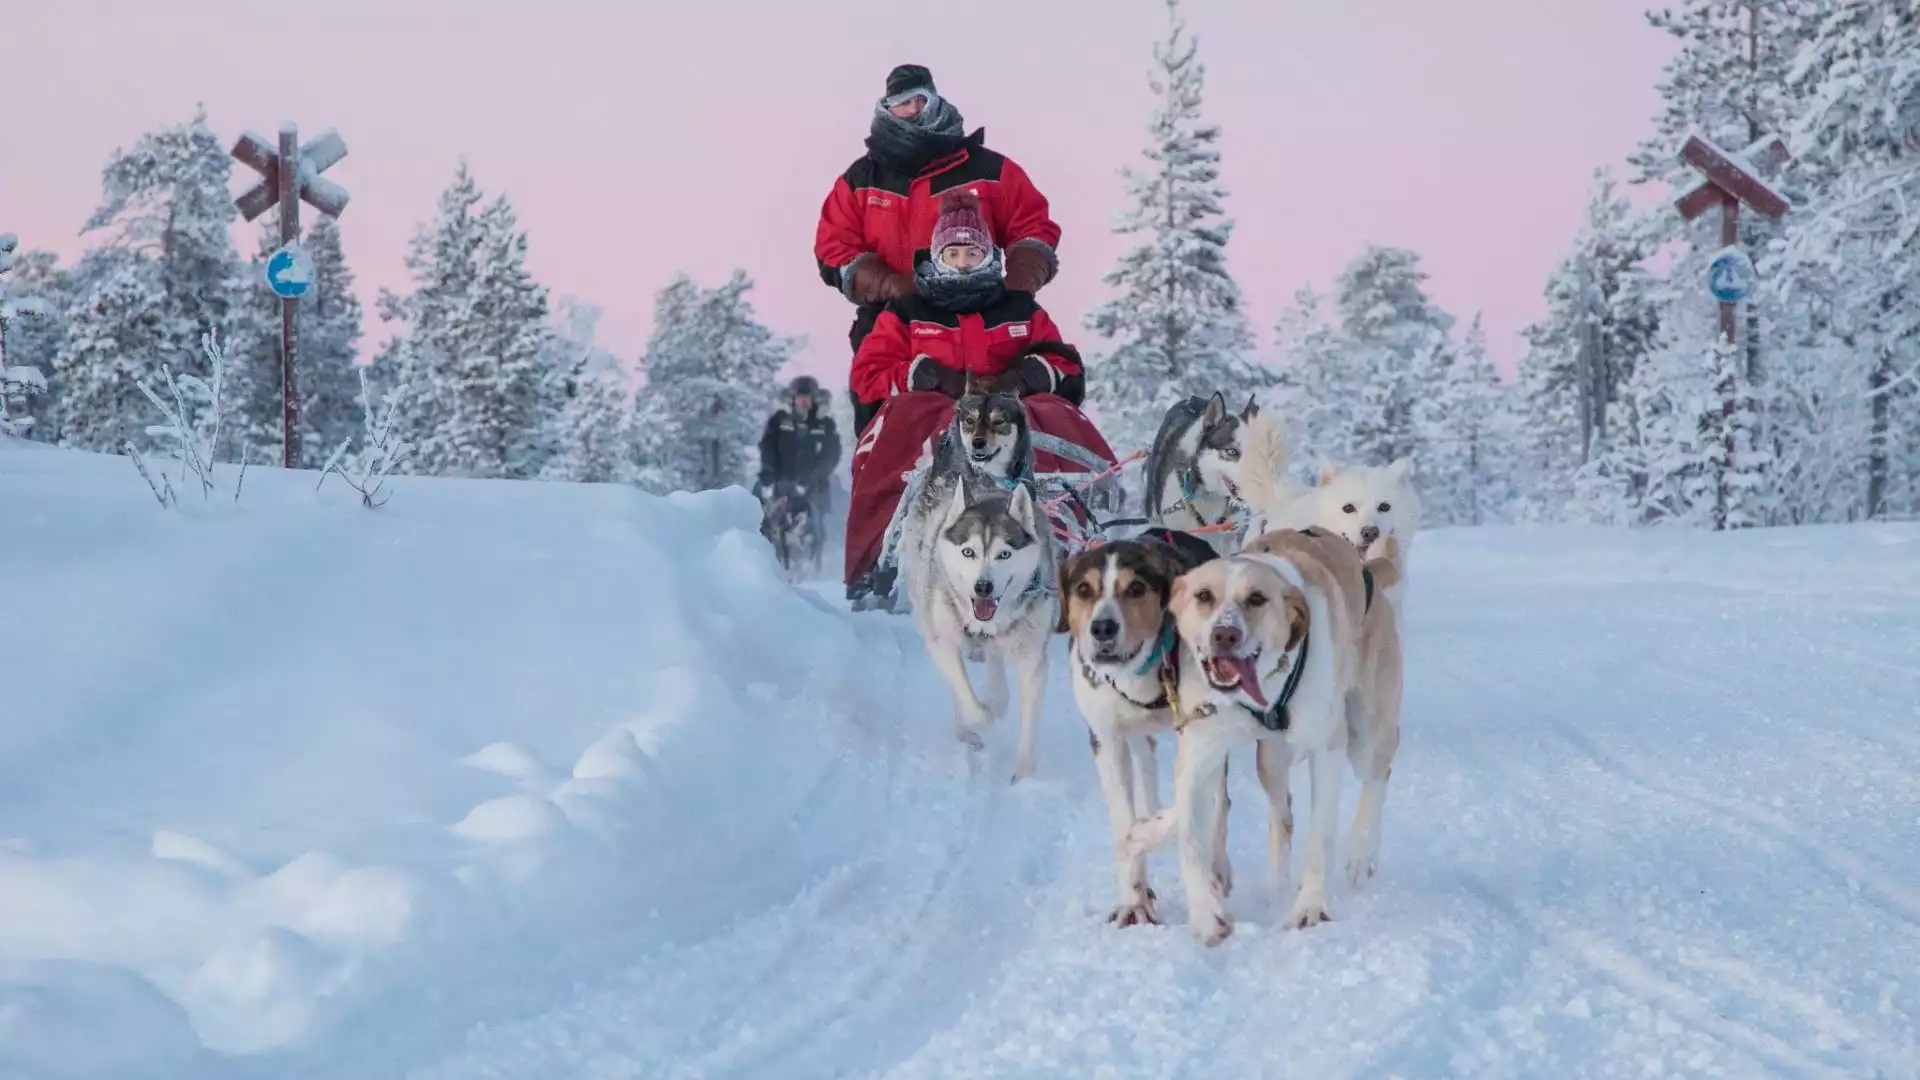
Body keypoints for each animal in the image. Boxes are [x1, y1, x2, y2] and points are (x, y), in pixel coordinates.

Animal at [1059, 526, 1221, 926]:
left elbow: (1192, 808)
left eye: (1135, 588)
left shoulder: (1206, 731)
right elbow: (1124, 822)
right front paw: (1134, 902)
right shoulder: (1107, 739)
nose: (1102, 627)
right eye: (1083, 589)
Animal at [1121, 526, 1413, 941]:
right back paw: (1275, 881)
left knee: (1377, 774)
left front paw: (1310, 908)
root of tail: (1368, 568)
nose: (1224, 634)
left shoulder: (1327, 749)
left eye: (1256, 599)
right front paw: (1205, 912)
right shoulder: (1200, 749)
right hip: (1270, 759)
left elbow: (1321, 836)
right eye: (1203, 596)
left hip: (1366, 731)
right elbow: (1189, 833)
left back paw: (1361, 854)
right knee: (1283, 812)